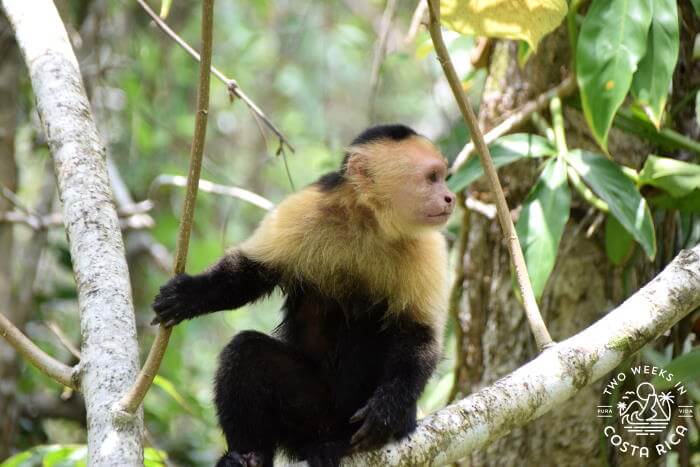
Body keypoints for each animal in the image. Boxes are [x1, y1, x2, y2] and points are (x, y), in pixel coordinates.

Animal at [152, 124, 455, 467]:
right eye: (432, 178)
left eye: (443, 177)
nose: (450, 197)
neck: (369, 221)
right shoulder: (302, 209)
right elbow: (248, 275)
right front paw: (188, 295)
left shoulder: (427, 246)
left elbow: (420, 335)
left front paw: (389, 410)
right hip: (309, 418)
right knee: (245, 352)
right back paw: (250, 456)